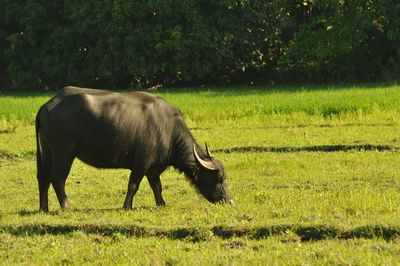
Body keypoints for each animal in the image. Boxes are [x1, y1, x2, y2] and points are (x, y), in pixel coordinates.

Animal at [36, 87, 233, 212]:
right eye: (219, 179)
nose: (229, 200)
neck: (167, 130)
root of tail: (45, 107)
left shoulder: (153, 169)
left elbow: (157, 186)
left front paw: (161, 203)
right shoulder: (141, 164)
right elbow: (133, 185)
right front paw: (127, 206)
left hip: (47, 152)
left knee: (43, 177)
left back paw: (44, 207)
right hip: (64, 153)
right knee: (57, 177)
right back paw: (66, 206)